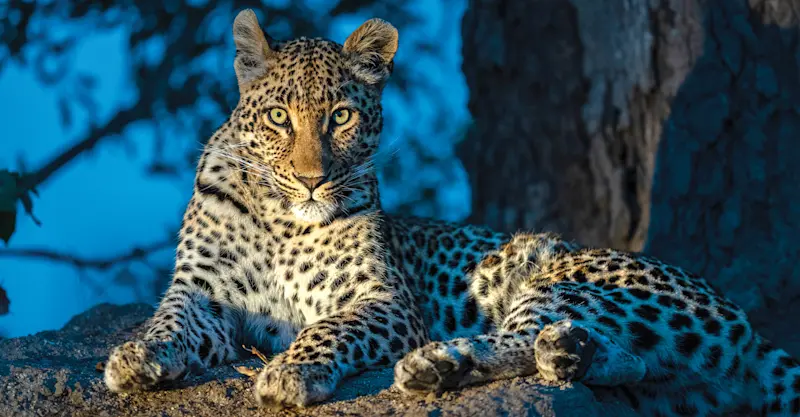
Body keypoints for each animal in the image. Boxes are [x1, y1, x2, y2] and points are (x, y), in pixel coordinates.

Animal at [103, 9, 800, 416]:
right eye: (278, 117)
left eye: (341, 116)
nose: (311, 180)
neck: (281, 218)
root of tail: (741, 318)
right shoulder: (202, 292)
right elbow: (169, 321)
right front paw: (135, 358)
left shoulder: (385, 302)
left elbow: (325, 329)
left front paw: (291, 372)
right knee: (629, 364)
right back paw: (564, 355)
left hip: (567, 277)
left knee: (524, 337)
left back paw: (439, 364)